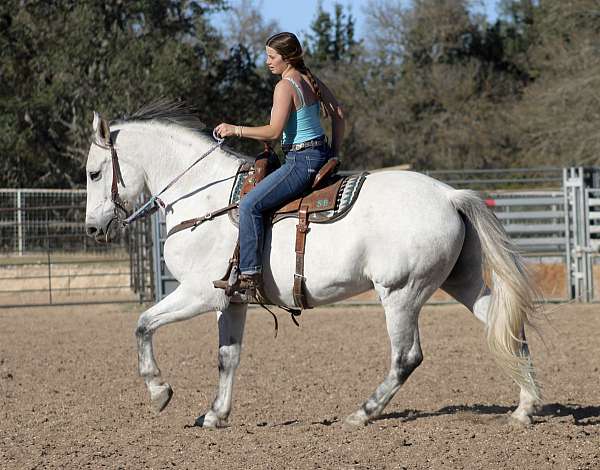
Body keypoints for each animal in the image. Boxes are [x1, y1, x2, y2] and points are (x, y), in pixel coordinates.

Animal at [83, 103, 540, 430]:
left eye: (93, 173)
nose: (92, 228)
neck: (204, 199)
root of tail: (449, 196)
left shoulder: (198, 293)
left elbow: (143, 325)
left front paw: (159, 392)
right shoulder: (232, 301)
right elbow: (228, 356)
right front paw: (214, 415)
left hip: (400, 294)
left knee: (406, 356)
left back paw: (362, 413)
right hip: (462, 282)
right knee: (508, 333)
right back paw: (525, 409)